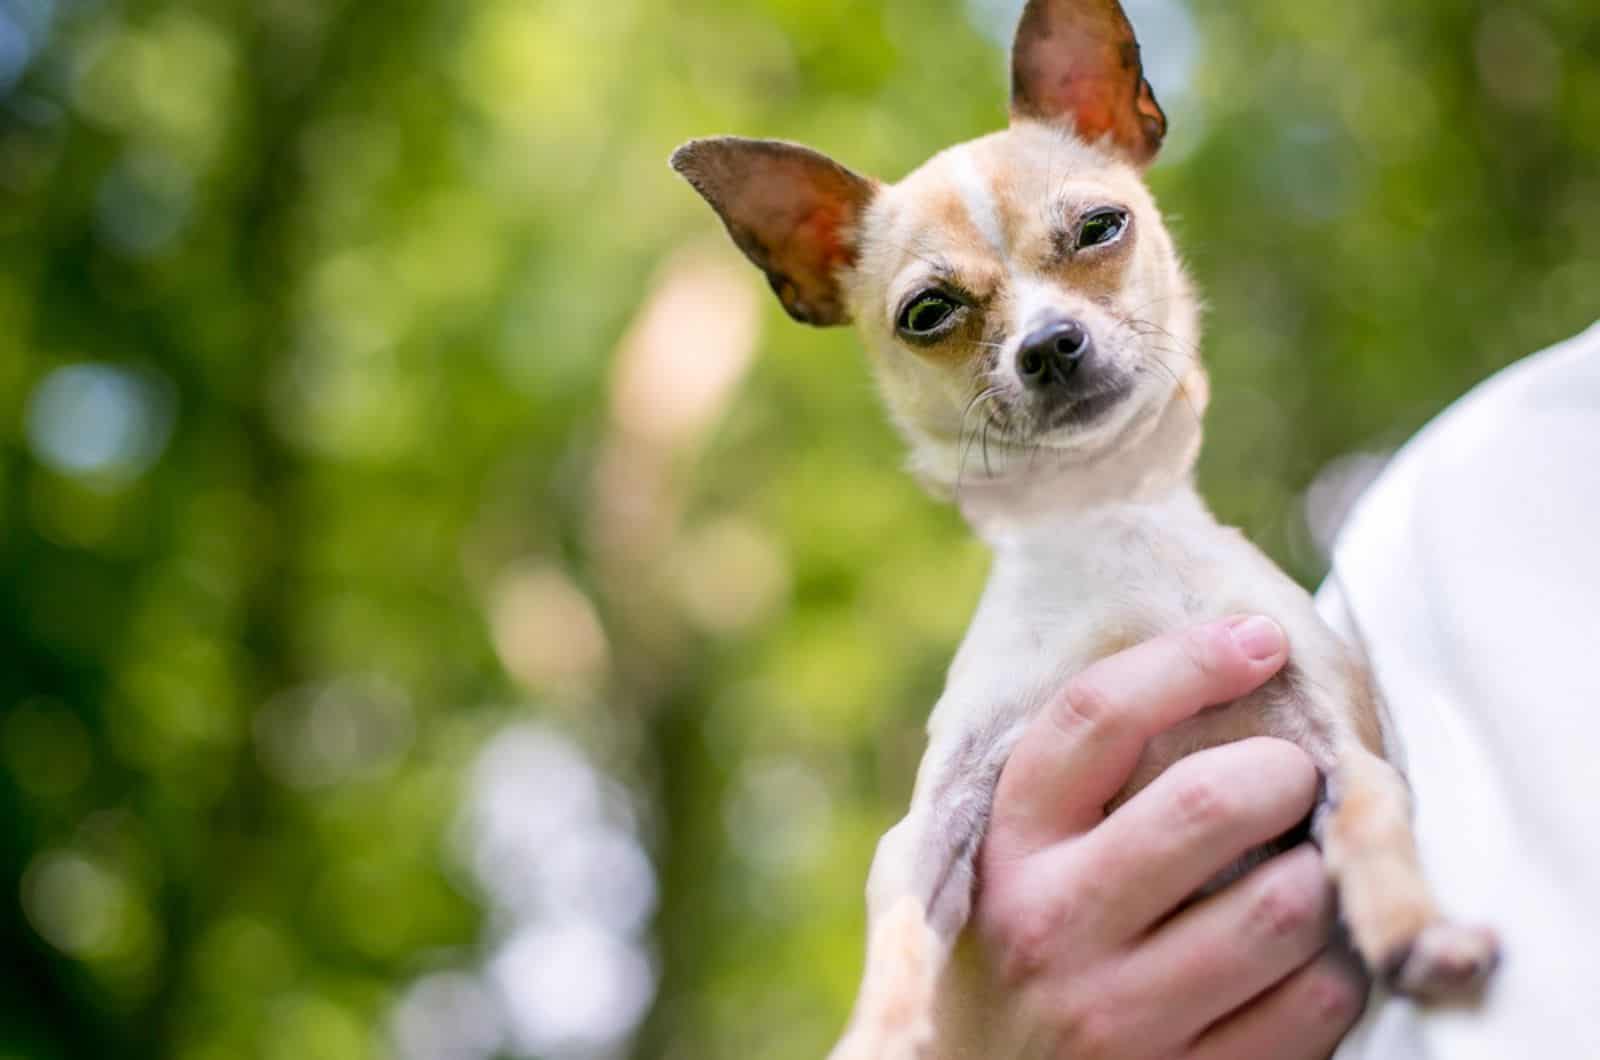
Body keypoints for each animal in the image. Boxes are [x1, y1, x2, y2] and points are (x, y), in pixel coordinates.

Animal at [668, 4, 1491, 1056]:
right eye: (927, 313)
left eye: (1100, 228)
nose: (1050, 345)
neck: (1104, 516)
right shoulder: (936, 817)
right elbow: (900, 932)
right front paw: (880, 1031)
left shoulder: (1336, 736)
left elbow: (1374, 817)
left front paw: (1414, 931)